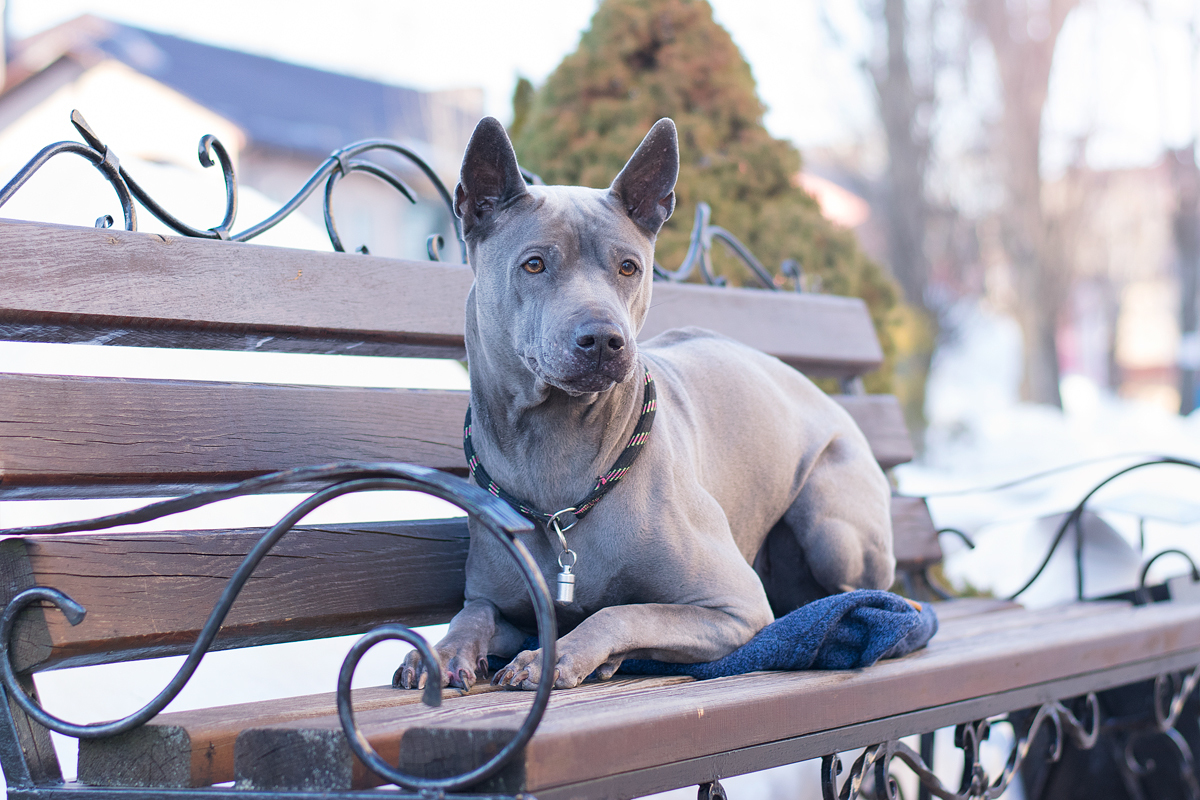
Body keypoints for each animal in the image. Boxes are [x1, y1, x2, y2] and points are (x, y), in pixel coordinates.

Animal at [398, 115, 897, 690]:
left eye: (629, 267)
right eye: (534, 264)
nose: (603, 339)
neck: (554, 447)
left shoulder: (737, 607)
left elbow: (622, 612)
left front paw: (563, 656)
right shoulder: (499, 602)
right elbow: (472, 613)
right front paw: (440, 652)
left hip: (833, 529)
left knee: (867, 596)